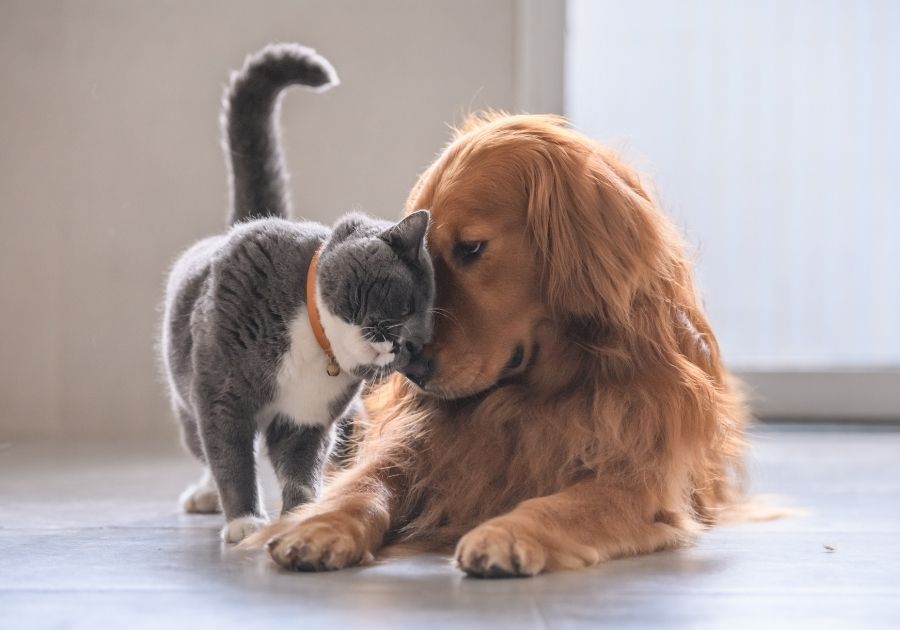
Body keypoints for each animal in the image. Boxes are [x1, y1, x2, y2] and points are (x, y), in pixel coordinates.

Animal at [162, 43, 436, 544]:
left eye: (418, 343)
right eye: (405, 304)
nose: (400, 345)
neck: (313, 341)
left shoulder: (307, 419)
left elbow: (300, 468)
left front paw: (302, 515)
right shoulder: (220, 394)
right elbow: (231, 457)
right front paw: (245, 521)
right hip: (185, 395)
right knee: (203, 447)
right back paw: (206, 495)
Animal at [253, 113, 744, 576]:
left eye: (471, 248)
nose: (410, 371)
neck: (532, 396)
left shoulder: (638, 480)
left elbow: (563, 504)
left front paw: (505, 533)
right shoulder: (413, 447)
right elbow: (364, 485)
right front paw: (317, 526)